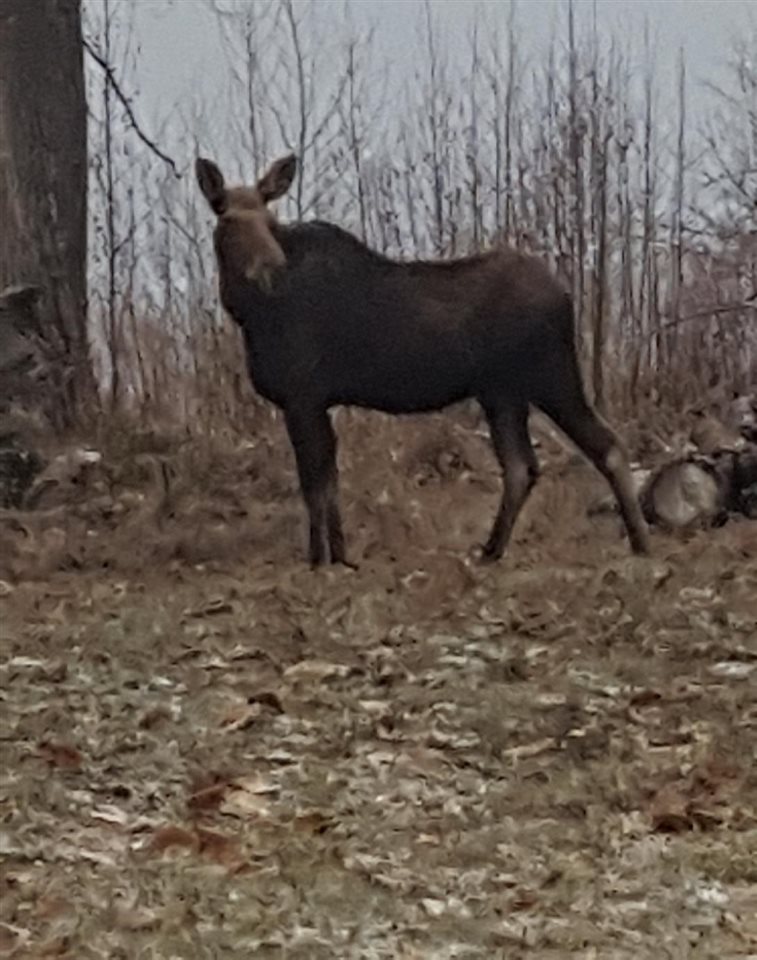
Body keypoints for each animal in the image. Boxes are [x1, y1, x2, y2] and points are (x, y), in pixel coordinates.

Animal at [195, 153, 651, 567]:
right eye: (229, 218)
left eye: (269, 220)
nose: (269, 268)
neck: (251, 313)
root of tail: (566, 294)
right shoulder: (315, 402)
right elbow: (328, 482)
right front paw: (340, 557)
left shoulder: (302, 397)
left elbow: (314, 486)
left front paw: (319, 561)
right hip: (503, 392)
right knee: (523, 466)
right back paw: (491, 550)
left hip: (550, 374)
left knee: (606, 446)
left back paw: (640, 542)